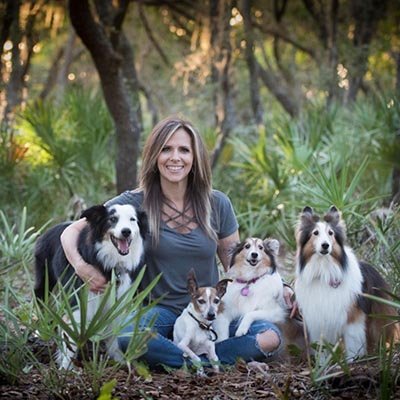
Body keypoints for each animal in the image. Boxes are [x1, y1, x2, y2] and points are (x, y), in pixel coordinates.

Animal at [294, 206, 396, 360]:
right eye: (315, 233)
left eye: (330, 233)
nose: (325, 245)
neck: (324, 270)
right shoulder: (318, 320)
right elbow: (322, 346)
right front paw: (322, 363)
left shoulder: (352, 317)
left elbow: (353, 341)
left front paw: (352, 360)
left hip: (380, 319)